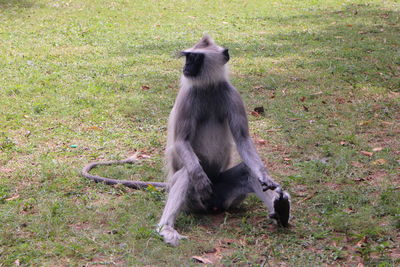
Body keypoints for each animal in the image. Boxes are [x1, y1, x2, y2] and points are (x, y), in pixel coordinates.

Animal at [80, 34, 290, 248]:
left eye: (195, 58)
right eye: (188, 57)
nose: (187, 66)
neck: (207, 87)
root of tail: (213, 206)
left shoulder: (231, 94)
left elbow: (243, 139)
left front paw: (266, 177)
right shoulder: (187, 97)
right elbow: (182, 142)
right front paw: (199, 177)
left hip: (224, 194)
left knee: (247, 171)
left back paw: (281, 210)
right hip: (193, 201)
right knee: (185, 174)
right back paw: (166, 228)